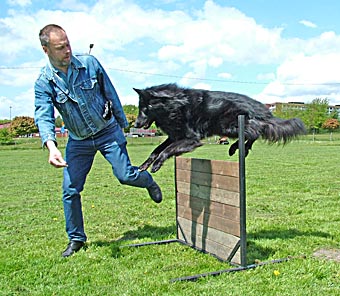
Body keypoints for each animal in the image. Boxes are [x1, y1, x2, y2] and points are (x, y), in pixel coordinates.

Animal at [133, 83, 306, 172]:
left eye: (146, 108)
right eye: (140, 107)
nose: (135, 124)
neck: (175, 105)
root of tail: (261, 108)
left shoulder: (191, 139)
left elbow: (166, 150)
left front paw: (156, 165)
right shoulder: (174, 136)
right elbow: (156, 150)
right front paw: (144, 166)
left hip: (229, 125)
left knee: (257, 131)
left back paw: (237, 148)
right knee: (256, 131)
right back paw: (238, 147)